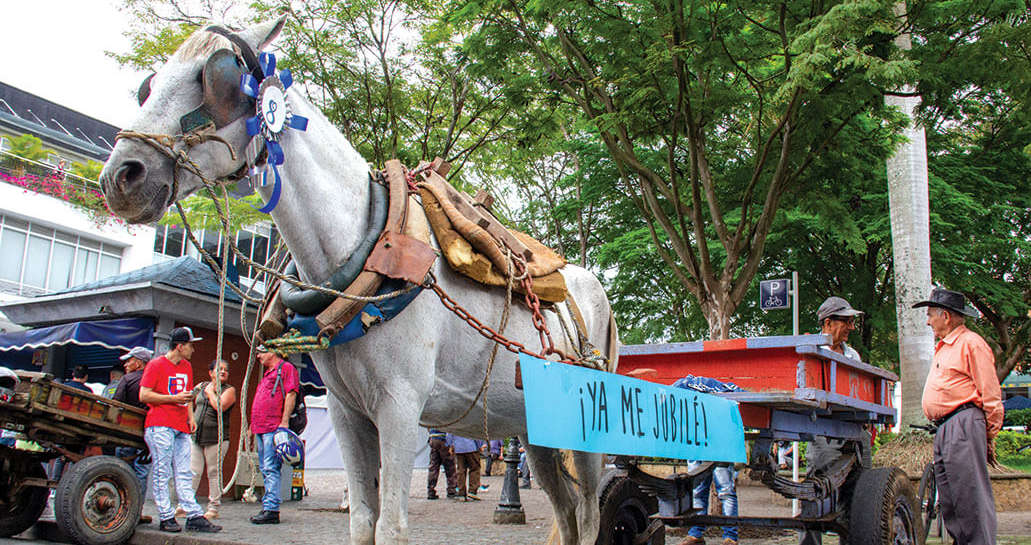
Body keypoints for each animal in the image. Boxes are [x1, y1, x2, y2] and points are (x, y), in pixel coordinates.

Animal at [98, 16, 610, 543]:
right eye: (149, 85)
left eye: (216, 74)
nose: (122, 175)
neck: (368, 250)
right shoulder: (348, 413)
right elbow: (363, 519)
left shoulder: (401, 407)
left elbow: (391, 526)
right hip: (534, 432)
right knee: (567, 512)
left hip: (588, 428)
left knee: (589, 510)